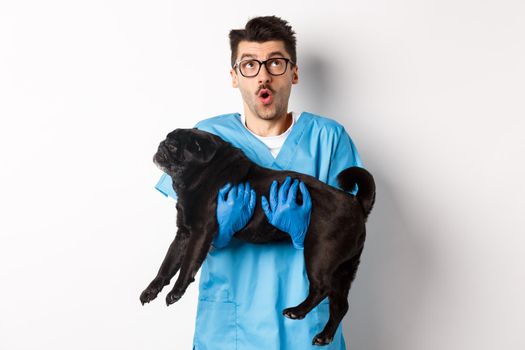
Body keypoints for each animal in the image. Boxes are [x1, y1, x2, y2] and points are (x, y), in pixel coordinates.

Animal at [141, 128, 374, 344]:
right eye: (166, 140)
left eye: (174, 147)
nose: (162, 145)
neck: (202, 174)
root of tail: (356, 203)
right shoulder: (183, 234)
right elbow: (167, 265)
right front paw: (152, 289)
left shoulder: (200, 233)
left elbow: (187, 266)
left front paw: (176, 291)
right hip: (344, 269)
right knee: (340, 305)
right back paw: (324, 336)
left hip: (319, 254)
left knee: (321, 288)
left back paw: (297, 311)